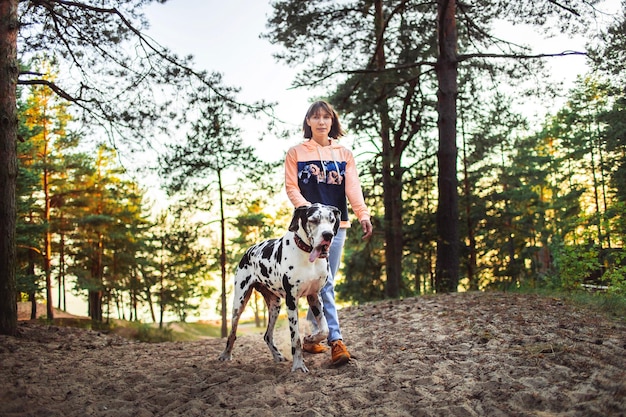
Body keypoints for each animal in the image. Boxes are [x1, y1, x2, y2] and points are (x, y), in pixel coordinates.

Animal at [217, 203, 338, 372]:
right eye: (314, 220)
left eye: (332, 220)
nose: (328, 235)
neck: (306, 255)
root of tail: (248, 251)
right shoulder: (291, 301)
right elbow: (296, 339)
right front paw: (298, 366)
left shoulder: (314, 297)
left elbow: (324, 330)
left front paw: (311, 338)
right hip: (239, 303)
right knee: (232, 332)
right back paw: (226, 355)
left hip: (275, 306)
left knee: (267, 335)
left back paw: (277, 355)